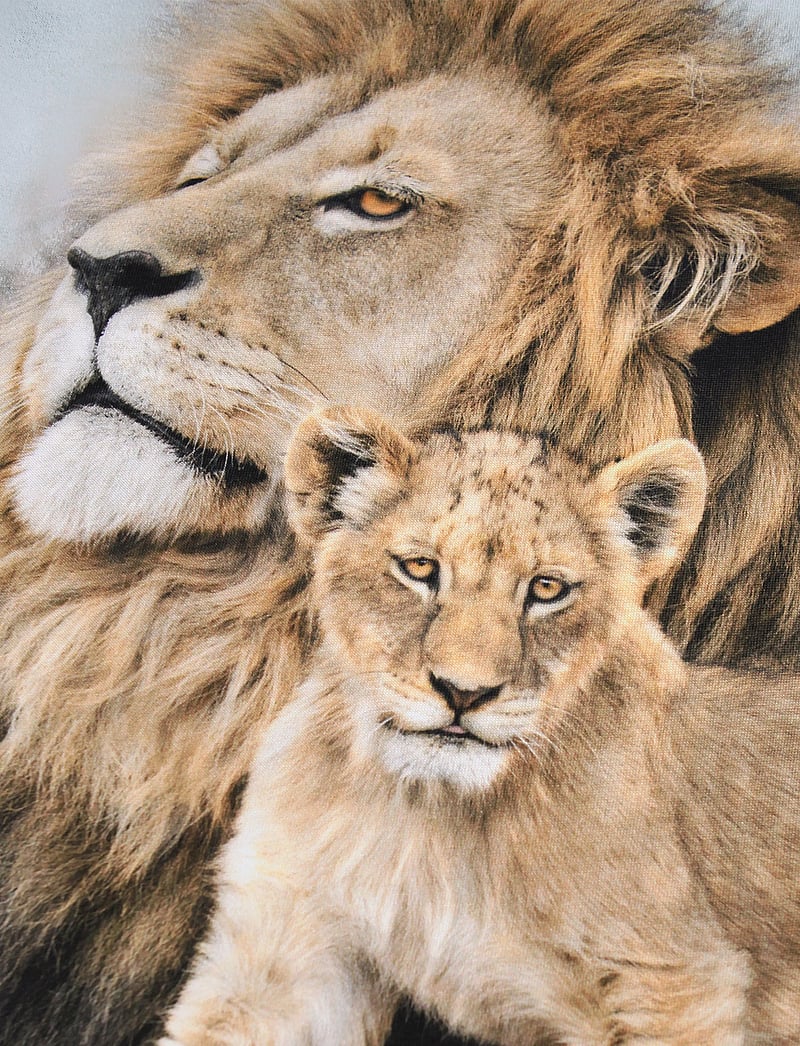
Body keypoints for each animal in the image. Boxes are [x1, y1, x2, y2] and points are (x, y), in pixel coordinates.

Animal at [159, 407, 800, 1046]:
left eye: (547, 588)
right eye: (420, 568)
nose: (463, 692)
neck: (431, 818)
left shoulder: (671, 981)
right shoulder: (283, 942)